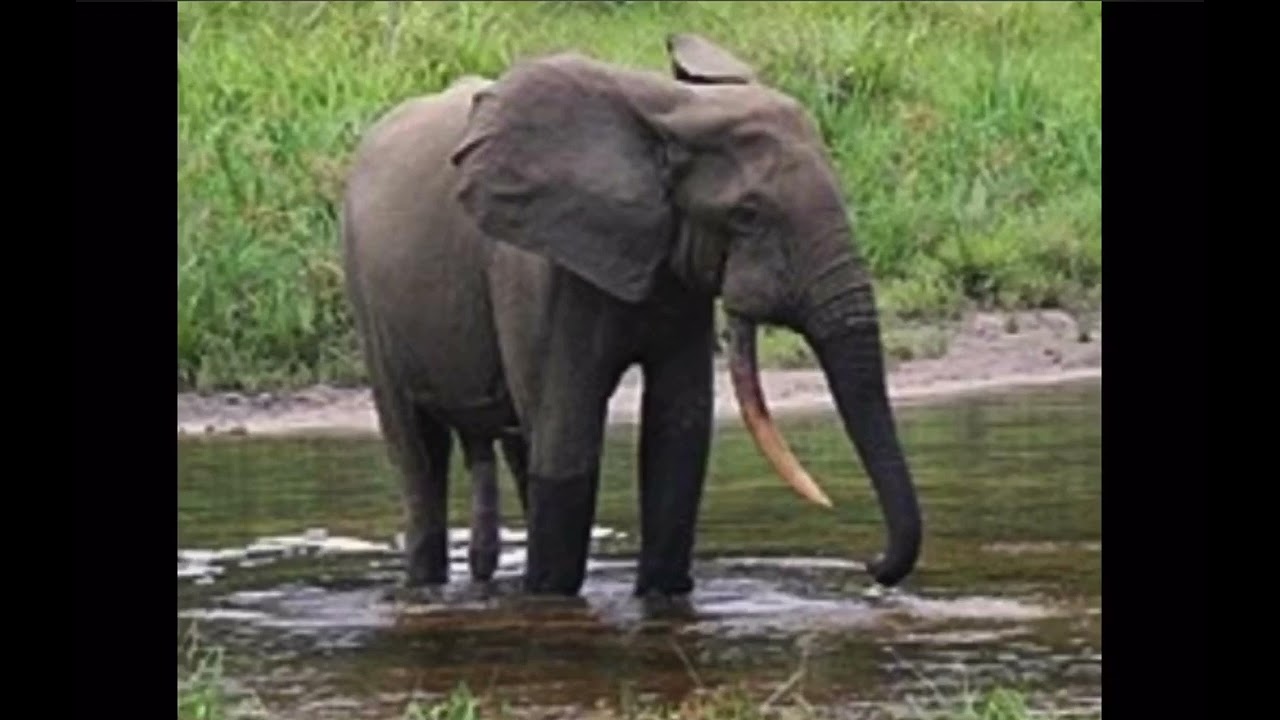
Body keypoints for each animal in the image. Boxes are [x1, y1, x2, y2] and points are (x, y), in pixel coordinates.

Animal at [340, 33, 923, 598]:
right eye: (748, 215)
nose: (872, 566)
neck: (672, 114)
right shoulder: (538, 266)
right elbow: (567, 444)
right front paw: (548, 600)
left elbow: (678, 436)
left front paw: (661, 598)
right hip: (367, 295)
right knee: (420, 453)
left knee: (507, 441)